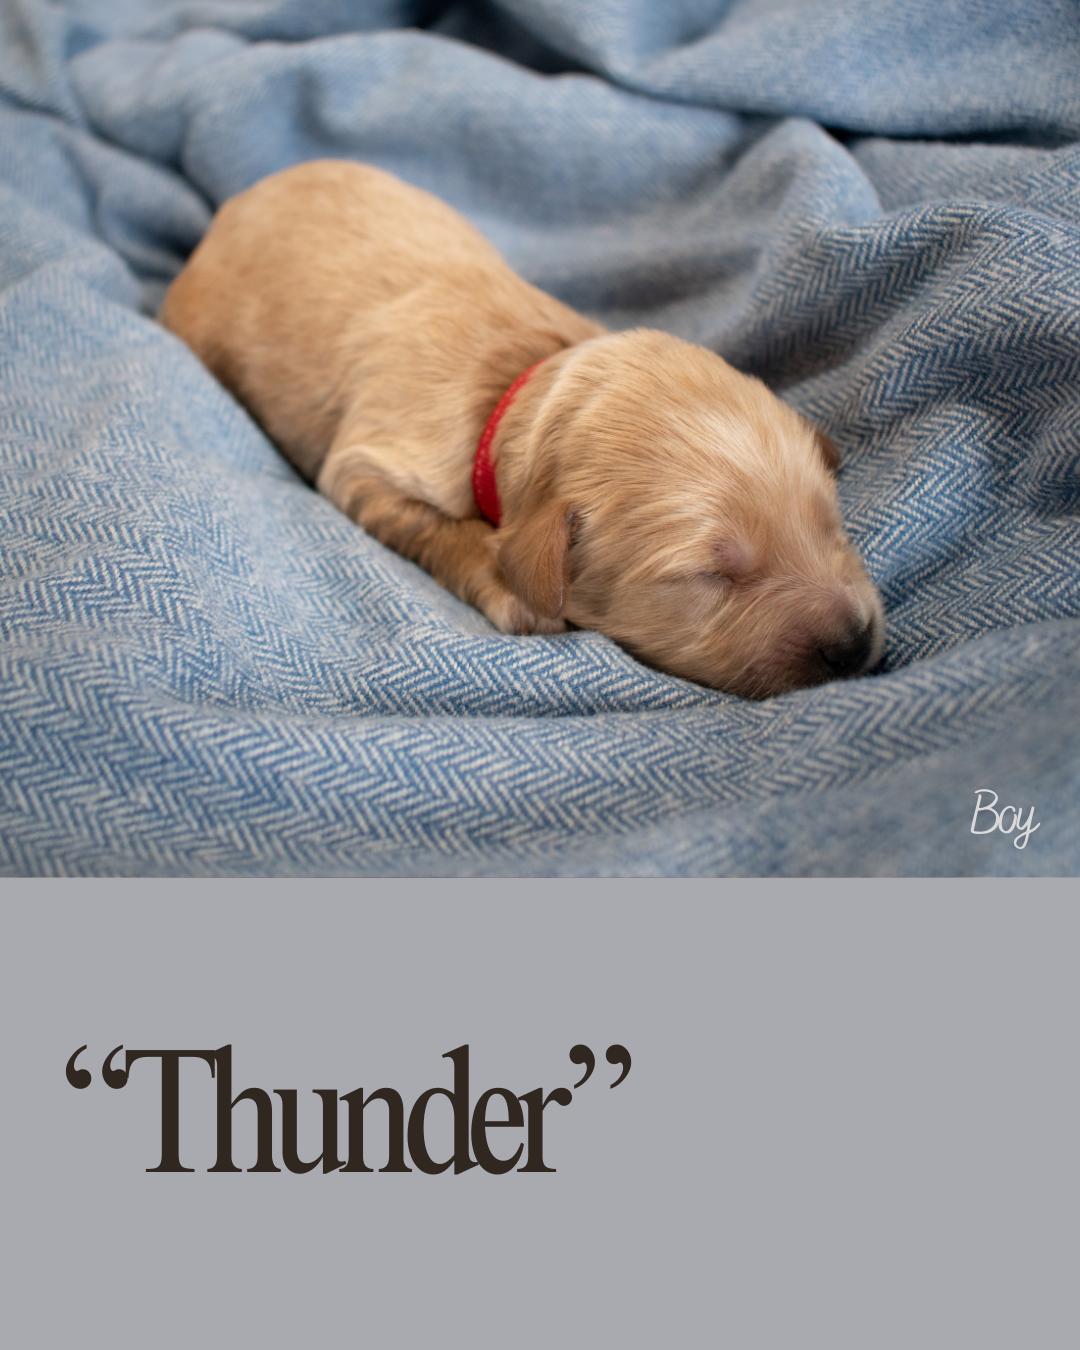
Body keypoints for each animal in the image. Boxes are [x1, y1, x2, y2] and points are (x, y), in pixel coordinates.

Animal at [159, 159, 884, 697]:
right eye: (711, 576)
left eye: (831, 525)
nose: (854, 644)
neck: (515, 387)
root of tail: (228, 208)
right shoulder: (369, 463)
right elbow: (435, 525)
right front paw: (504, 580)